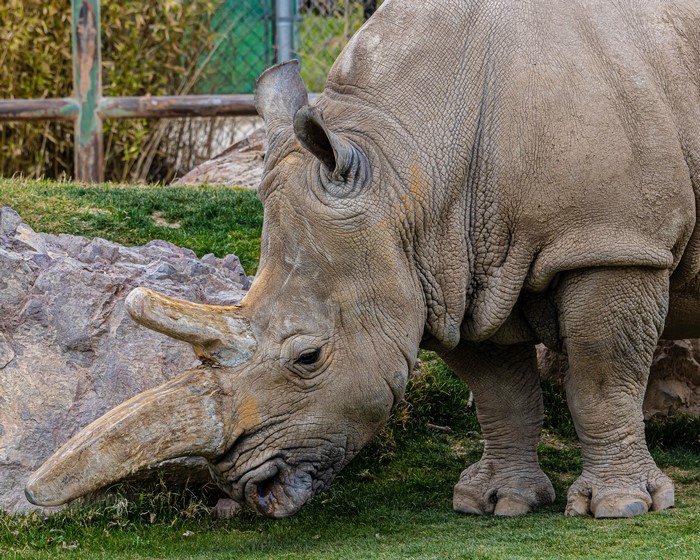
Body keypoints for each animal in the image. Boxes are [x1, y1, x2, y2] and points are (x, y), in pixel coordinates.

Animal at [25, 0, 700, 519]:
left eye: (308, 357)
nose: (253, 490)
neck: (408, 161)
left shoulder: (612, 241)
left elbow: (600, 378)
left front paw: (621, 507)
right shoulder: (451, 270)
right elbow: (501, 391)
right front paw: (497, 504)